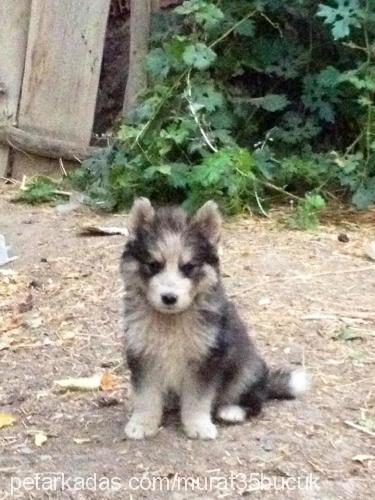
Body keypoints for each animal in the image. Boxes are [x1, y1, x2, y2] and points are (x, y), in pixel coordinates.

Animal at [121, 197, 308, 440]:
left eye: (189, 267)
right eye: (153, 265)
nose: (169, 298)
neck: (172, 321)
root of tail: (266, 383)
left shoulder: (207, 359)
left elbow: (198, 399)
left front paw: (198, 424)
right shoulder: (142, 355)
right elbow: (146, 396)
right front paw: (142, 423)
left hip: (246, 369)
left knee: (255, 401)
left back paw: (232, 411)